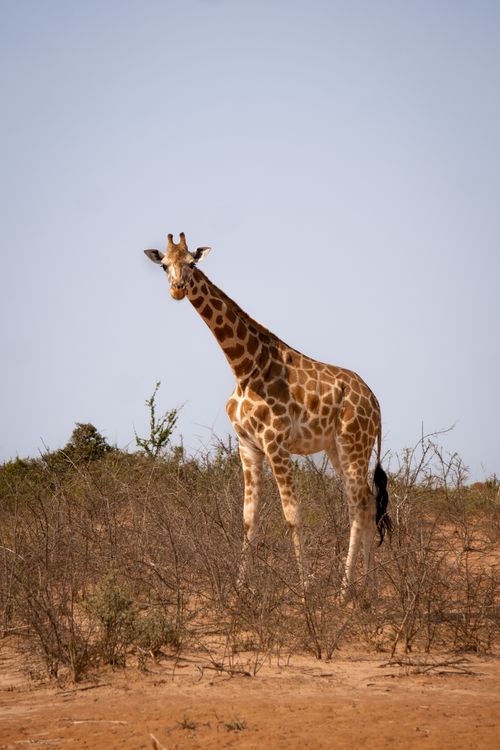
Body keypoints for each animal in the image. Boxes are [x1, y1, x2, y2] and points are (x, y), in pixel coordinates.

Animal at [144, 232, 392, 596]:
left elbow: (292, 515)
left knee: (362, 503)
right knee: (363, 503)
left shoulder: (276, 443)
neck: (243, 368)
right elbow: (248, 518)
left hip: (354, 443)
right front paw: (239, 588)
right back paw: (364, 591)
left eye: (192, 263)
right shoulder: (248, 446)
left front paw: (305, 589)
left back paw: (350, 590)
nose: (177, 288)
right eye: (164, 265)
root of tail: (376, 403)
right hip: (337, 448)